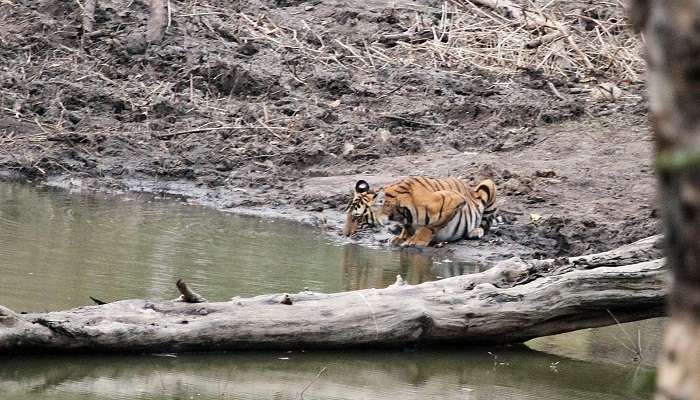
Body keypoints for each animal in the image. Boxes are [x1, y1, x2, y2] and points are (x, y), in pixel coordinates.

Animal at [344, 176, 498, 247]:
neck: (398, 213)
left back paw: (475, 231)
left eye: (357, 218)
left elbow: (430, 226)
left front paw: (416, 240)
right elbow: (407, 227)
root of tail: (469, 187)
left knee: (486, 224)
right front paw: (401, 237)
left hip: (488, 184)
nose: (345, 234)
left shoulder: (453, 199)